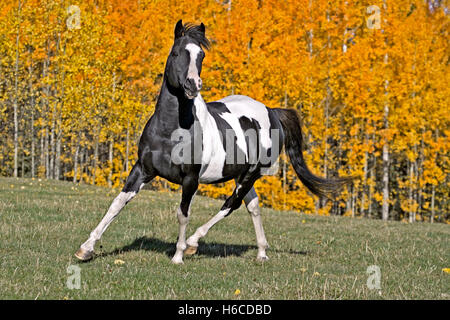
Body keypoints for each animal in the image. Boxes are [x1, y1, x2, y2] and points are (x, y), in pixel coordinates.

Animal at [74, 20, 352, 264]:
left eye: (201, 56)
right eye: (176, 52)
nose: (192, 85)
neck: (170, 131)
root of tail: (271, 111)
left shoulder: (190, 179)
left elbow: (183, 214)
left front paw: (178, 255)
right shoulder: (142, 170)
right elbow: (118, 203)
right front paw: (85, 249)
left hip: (252, 174)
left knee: (232, 204)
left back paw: (194, 243)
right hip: (242, 175)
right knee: (252, 206)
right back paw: (262, 253)